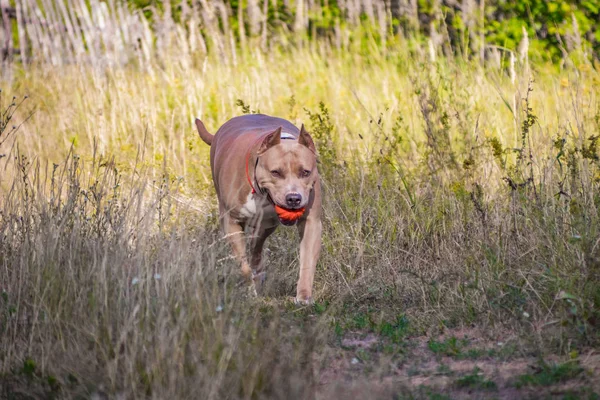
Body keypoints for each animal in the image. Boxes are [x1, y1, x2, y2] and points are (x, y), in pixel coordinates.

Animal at [195, 114, 322, 304]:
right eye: (275, 172)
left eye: (305, 172)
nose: (293, 198)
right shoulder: (231, 223)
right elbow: (243, 264)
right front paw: (250, 292)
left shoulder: (311, 222)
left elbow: (307, 261)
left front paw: (304, 297)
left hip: (265, 226)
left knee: (256, 247)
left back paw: (259, 274)